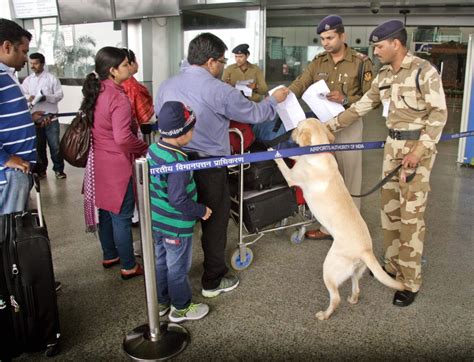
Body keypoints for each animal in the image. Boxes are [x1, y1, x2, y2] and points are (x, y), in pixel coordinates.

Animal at [274, 119, 404, 320]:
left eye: (298, 127)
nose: (290, 133)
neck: (319, 153)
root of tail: (366, 251)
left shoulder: (291, 177)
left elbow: (283, 164)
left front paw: (275, 152)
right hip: (356, 271)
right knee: (356, 288)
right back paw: (353, 299)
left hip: (329, 268)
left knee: (335, 298)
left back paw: (324, 315)